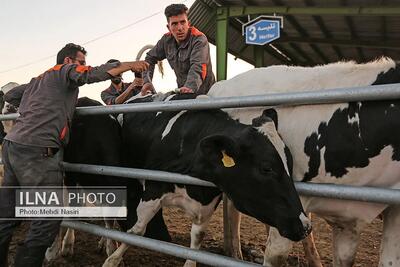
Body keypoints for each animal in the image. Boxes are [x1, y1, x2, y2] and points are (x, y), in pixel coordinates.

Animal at [101, 92, 310, 267]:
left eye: (291, 163)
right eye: (266, 168)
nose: (305, 226)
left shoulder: (209, 201)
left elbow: (197, 239)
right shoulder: (153, 189)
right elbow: (137, 230)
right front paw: (112, 259)